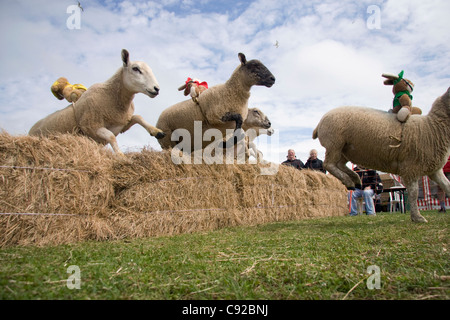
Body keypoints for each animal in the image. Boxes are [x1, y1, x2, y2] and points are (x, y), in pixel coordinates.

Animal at [29, 47, 165, 156]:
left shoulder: (121, 124)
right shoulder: (92, 126)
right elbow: (111, 136)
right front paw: (120, 155)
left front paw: (156, 131)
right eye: (135, 69)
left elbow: (138, 117)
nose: (156, 89)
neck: (112, 97)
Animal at [312, 87, 450, 222]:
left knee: (339, 164)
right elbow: (414, 193)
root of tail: (320, 123)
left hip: (345, 150)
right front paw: (417, 217)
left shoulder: (434, 170)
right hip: (335, 143)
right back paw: (349, 181)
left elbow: (447, 185)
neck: (432, 127)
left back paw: (356, 180)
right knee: (329, 164)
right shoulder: (410, 168)